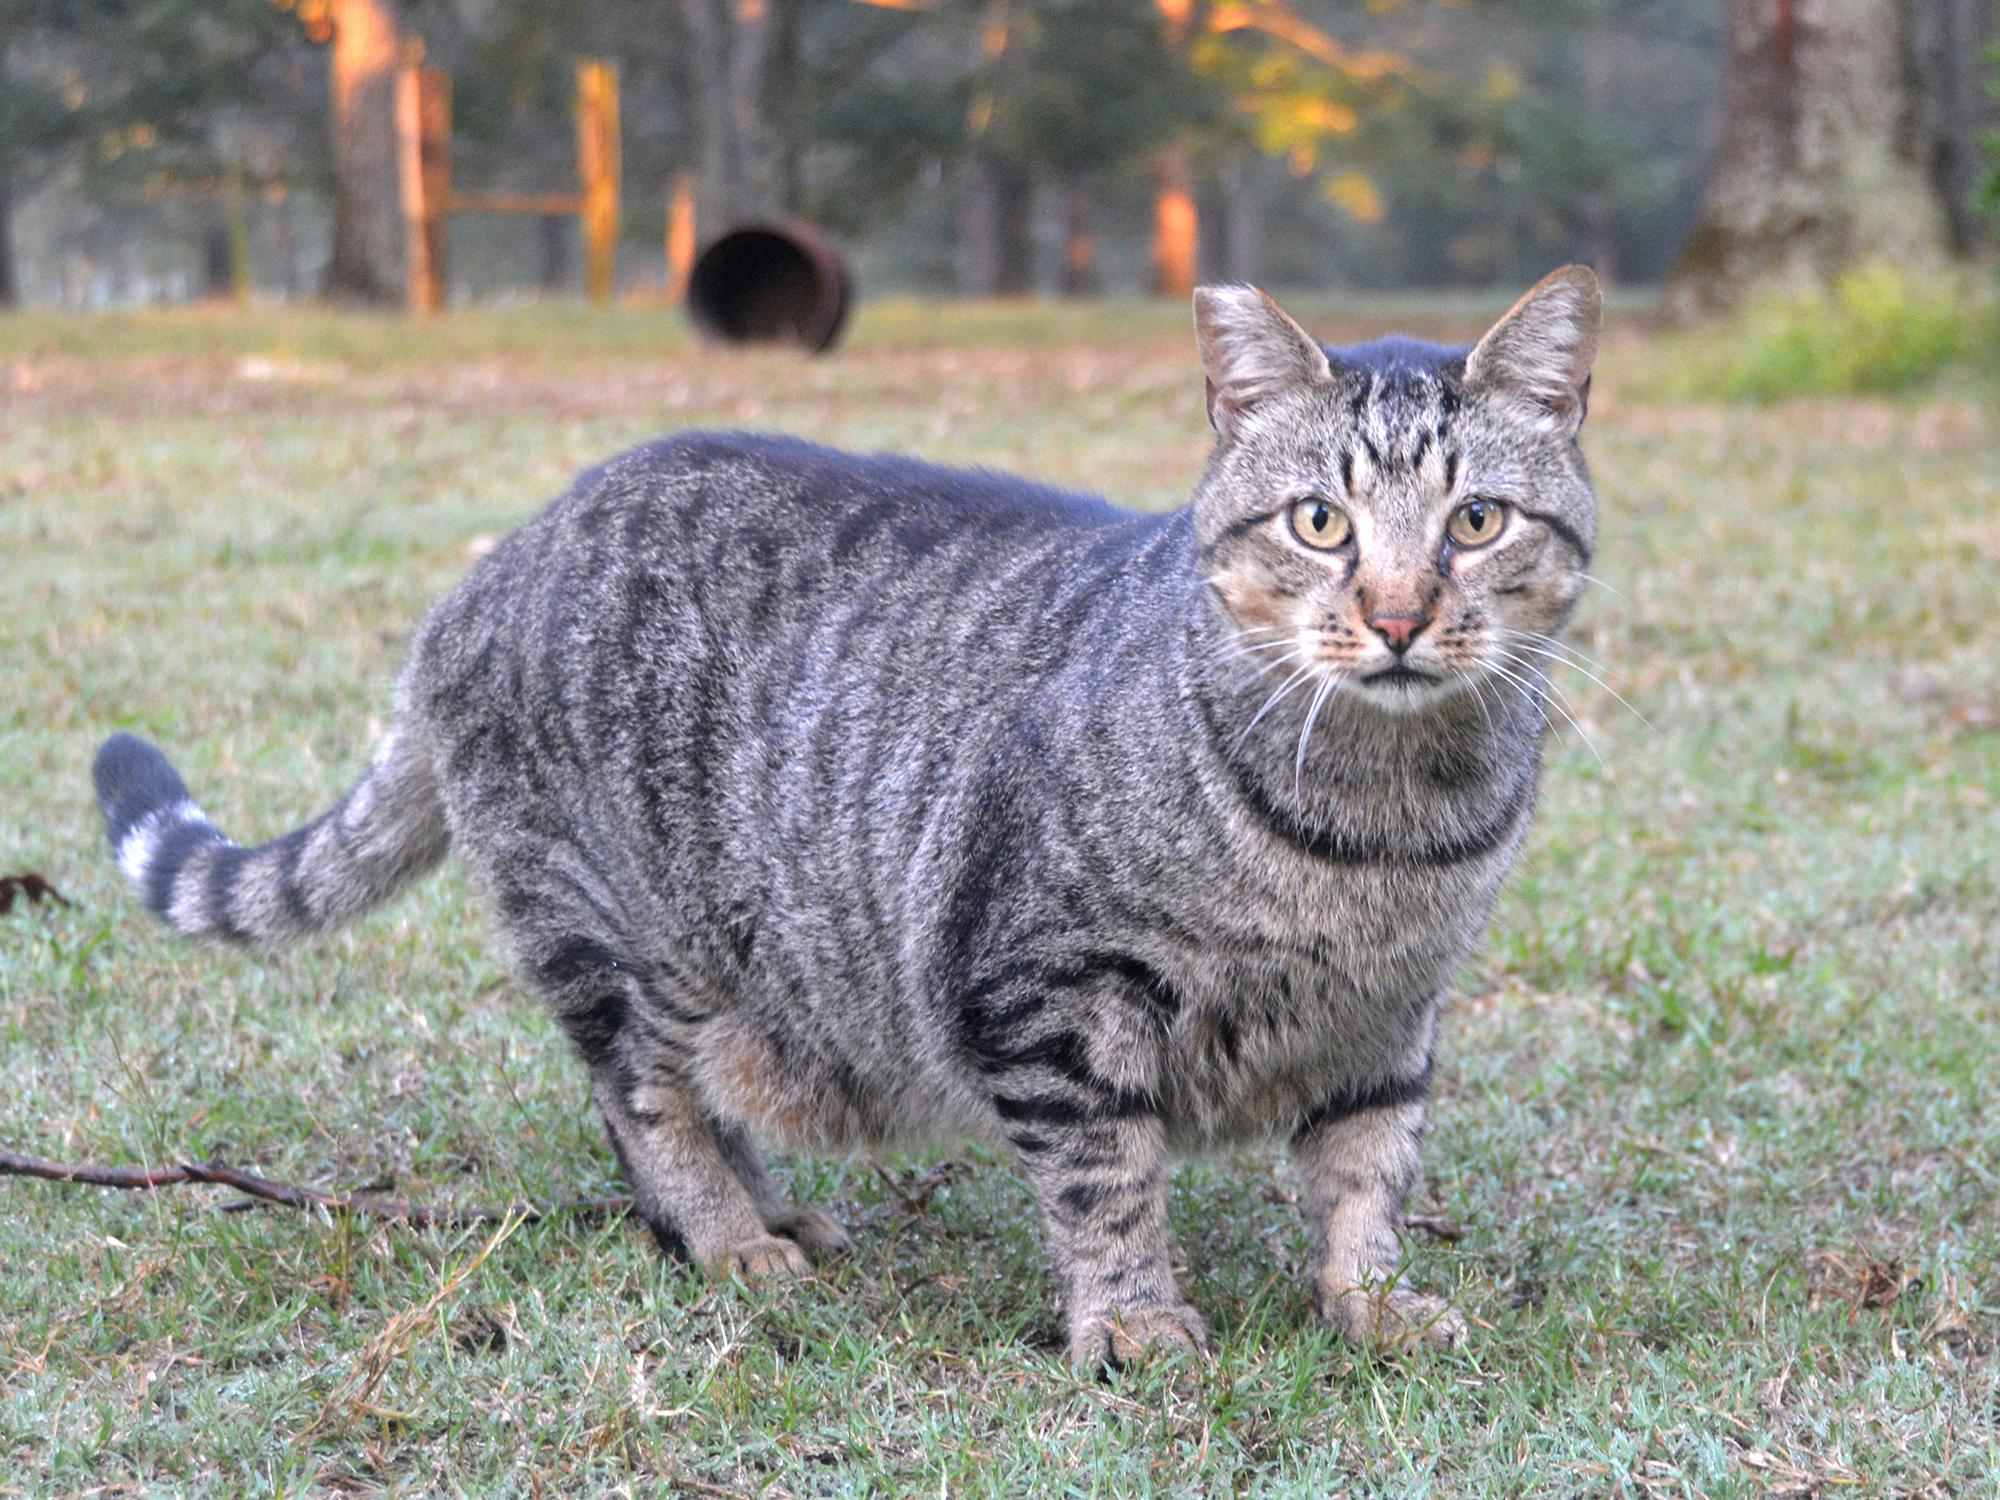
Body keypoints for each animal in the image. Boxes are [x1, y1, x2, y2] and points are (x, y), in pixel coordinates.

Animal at [94, 264, 1600, 1368]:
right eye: (1318, 524)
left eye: (1474, 523)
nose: (1396, 616)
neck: (1379, 828)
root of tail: (495, 560)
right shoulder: (1045, 992)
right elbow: (1108, 1178)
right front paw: (1132, 1322)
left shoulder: (1392, 1016)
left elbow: (1365, 1172)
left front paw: (1369, 1302)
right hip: (626, 940)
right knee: (642, 1100)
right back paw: (727, 1239)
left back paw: (769, 1211)